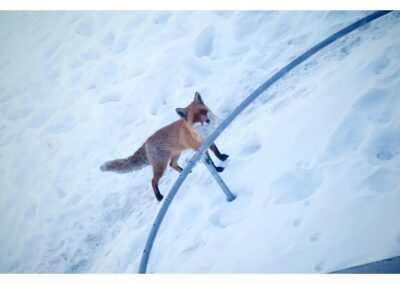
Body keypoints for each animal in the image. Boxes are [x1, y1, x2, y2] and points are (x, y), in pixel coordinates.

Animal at [100, 92, 228, 201]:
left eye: (203, 112)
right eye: (195, 118)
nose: (207, 120)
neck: (202, 132)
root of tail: (146, 141)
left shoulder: (210, 140)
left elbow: (216, 152)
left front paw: (222, 158)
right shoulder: (200, 149)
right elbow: (210, 162)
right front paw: (218, 169)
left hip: (175, 155)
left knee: (172, 164)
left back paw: (184, 172)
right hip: (161, 166)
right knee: (153, 181)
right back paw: (159, 197)